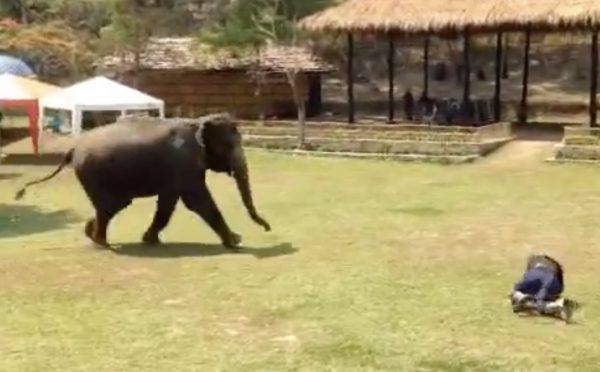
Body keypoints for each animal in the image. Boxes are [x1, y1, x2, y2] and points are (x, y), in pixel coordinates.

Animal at [15, 113, 270, 247]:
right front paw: (235, 241)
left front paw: (151, 240)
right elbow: (197, 201)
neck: (198, 121)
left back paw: (90, 232)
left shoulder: (177, 171)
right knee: (111, 206)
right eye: (230, 145)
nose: (268, 228)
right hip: (94, 174)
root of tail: (73, 148)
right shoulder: (184, 164)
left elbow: (168, 204)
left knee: (109, 207)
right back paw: (102, 242)